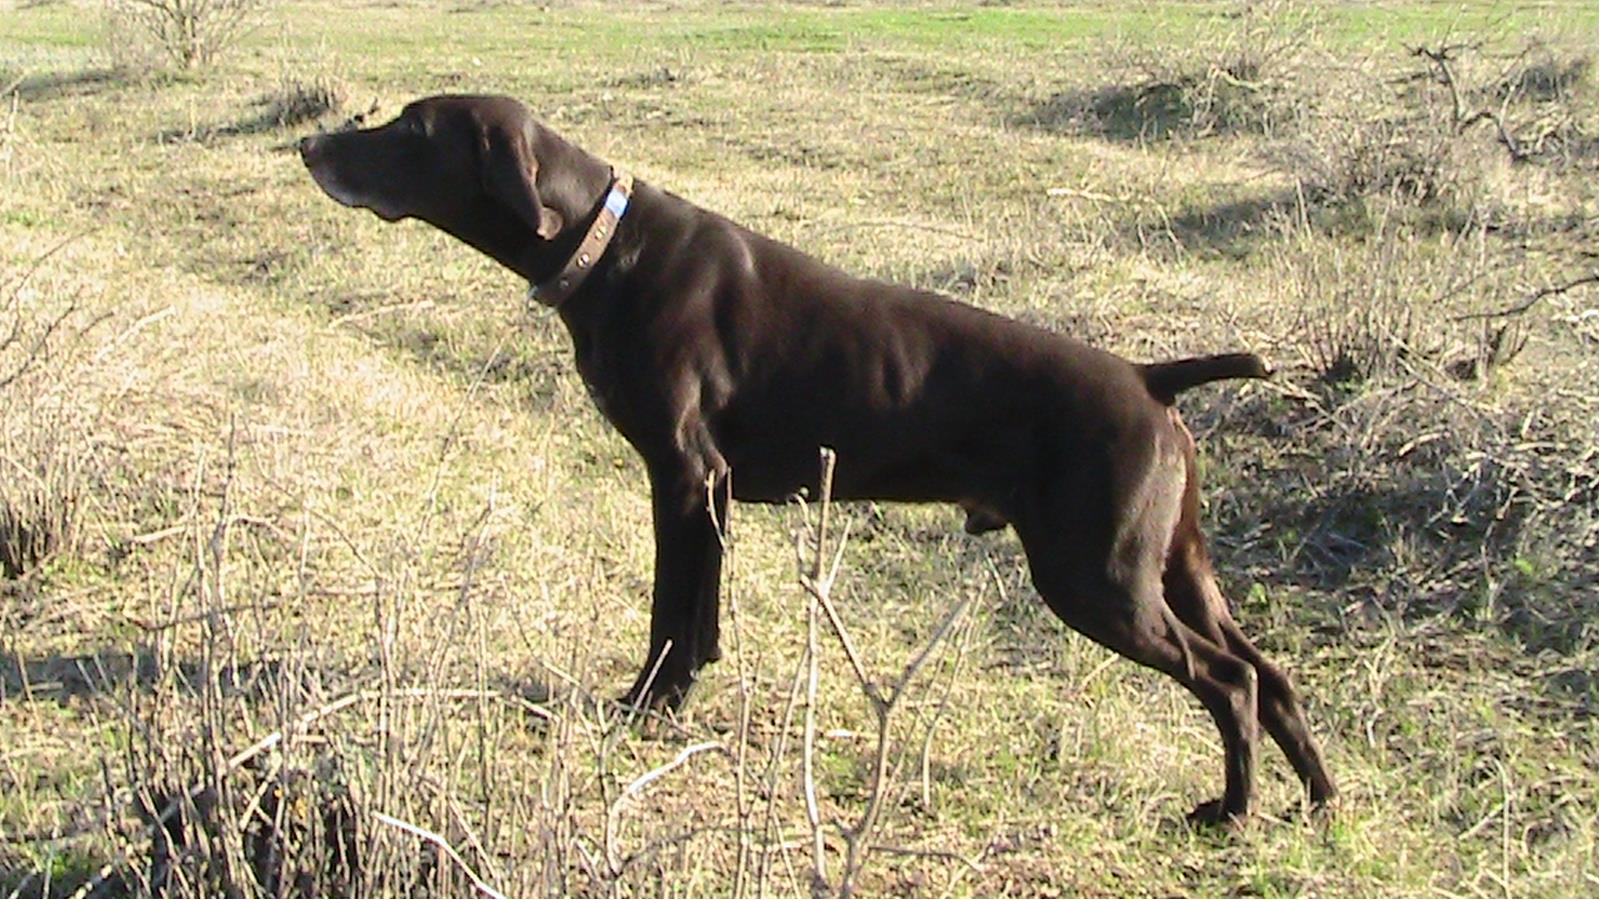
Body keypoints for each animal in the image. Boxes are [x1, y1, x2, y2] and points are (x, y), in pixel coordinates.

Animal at [299, 94, 1335, 823]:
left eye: (409, 126)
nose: (309, 146)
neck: (604, 243)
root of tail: (1152, 378)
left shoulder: (684, 477)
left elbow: (671, 616)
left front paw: (644, 707)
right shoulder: (705, 492)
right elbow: (701, 617)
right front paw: (675, 702)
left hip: (1099, 579)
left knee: (1230, 681)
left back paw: (1232, 811)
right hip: (1173, 568)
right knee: (1272, 676)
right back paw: (1318, 803)